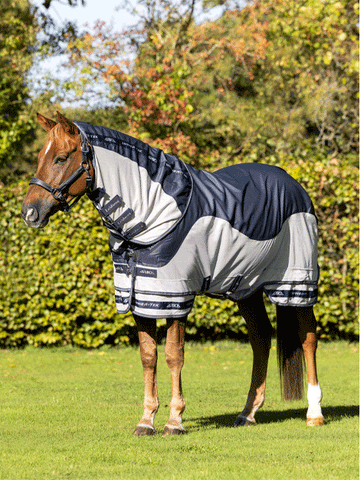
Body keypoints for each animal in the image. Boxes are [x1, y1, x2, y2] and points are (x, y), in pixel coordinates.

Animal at [21, 111, 324, 436]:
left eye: (61, 158)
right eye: (40, 156)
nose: (29, 212)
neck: (151, 214)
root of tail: (294, 185)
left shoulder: (175, 296)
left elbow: (173, 355)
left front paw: (174, 421)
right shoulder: (141, 298)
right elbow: (148, 356)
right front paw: (146, 421)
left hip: (296, 282)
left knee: (308, 338)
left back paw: (314, 413)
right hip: (247, 288)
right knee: (261, 339)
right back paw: (248, 413)